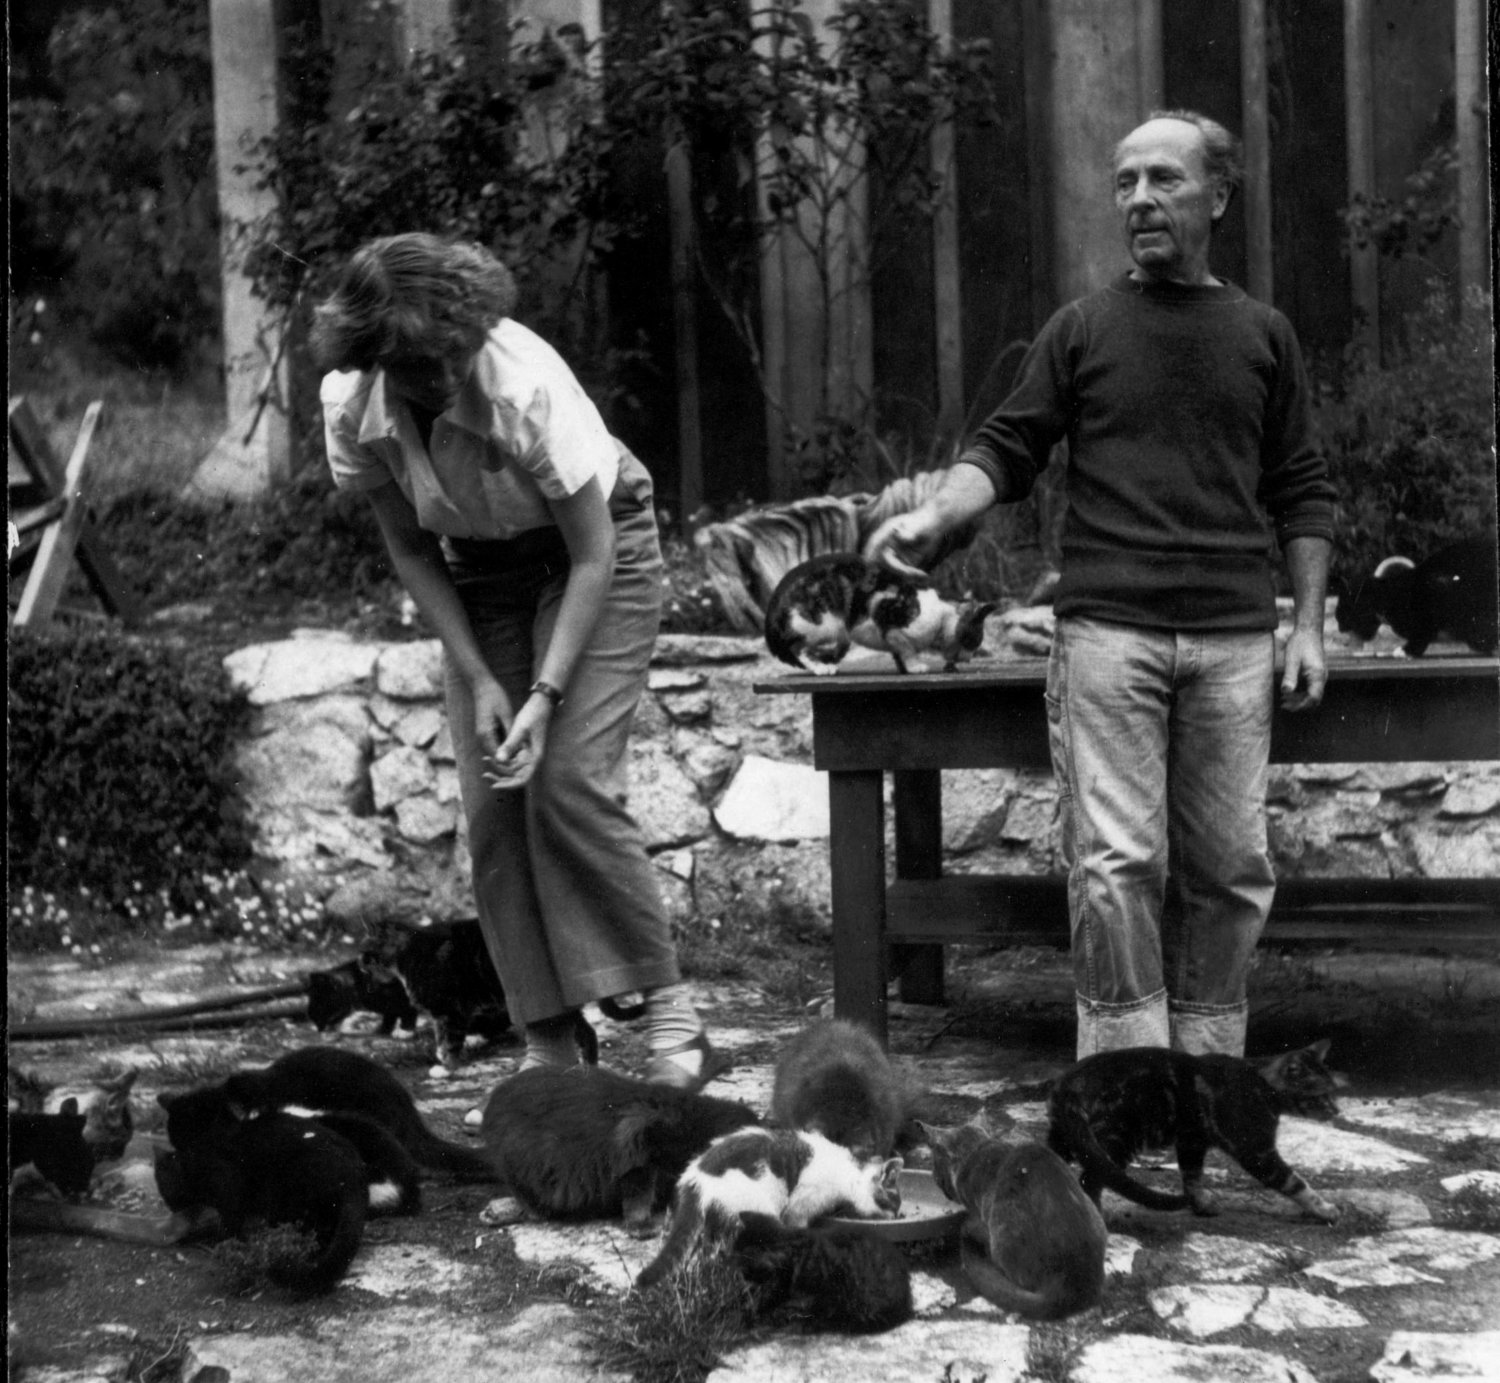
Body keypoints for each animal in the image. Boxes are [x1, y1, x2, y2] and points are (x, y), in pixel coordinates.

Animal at [156, 1085, 367, 1293]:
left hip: (287, 1197)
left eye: (185, 1136)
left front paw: (225, 1244)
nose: (173, 1210)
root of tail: (353, 1176)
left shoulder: (228, 1186)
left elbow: (230, 1221)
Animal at [636, 1126, 903, 1290]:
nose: (899, 1215)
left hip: (717, 1219)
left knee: (711, 1253)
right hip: (755, 1206)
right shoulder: (800, 1205)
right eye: (895, 1201)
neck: (847, 1174)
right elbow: (799, 1223)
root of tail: (696, 1176)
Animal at [764, 554, 996, 676]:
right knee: (797, 649)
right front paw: (915, 666)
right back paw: (822, 668)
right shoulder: (885, 613)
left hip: (840, 635)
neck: (941, 615)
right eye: (975, 641)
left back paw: (827, 658)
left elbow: (899, 651)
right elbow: (906, 648)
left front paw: (904, 668)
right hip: (819, 624)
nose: (970, 658)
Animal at [1045, 1040, 1343, 1223]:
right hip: (1117, 1139)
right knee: (1090, 1181)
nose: (1338, 1111)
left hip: (1067, 1139)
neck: (1258, 1081)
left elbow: (1192, 1177)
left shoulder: (1192, 1141)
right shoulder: (1257, 1152)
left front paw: (1200, 1204)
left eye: (1334, 1092)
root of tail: (1066, 1082)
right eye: (1322, 1096)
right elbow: (1296, 1183)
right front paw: (1325, 1209)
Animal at [1336, 534, 1499, 657]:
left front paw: (1406, 651)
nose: (1339, 629)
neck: (1388, 596)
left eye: (1341, 616)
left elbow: (1422, 635)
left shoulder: (1430, 606)